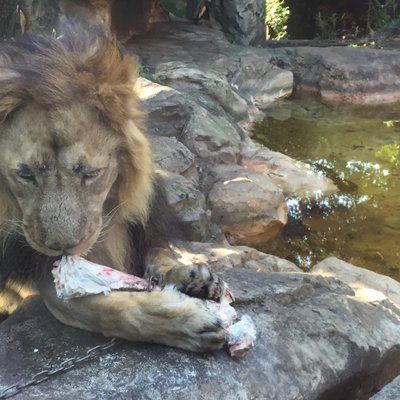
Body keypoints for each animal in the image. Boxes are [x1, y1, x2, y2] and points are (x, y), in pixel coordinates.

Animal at [0, 29, 225, 352]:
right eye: (25, 174)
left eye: (91, 173)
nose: (62, 247)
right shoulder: (45, 273)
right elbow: (112, 311)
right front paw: (187, 324)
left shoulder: (145, 224)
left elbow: (161, 253)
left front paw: (192, 276)